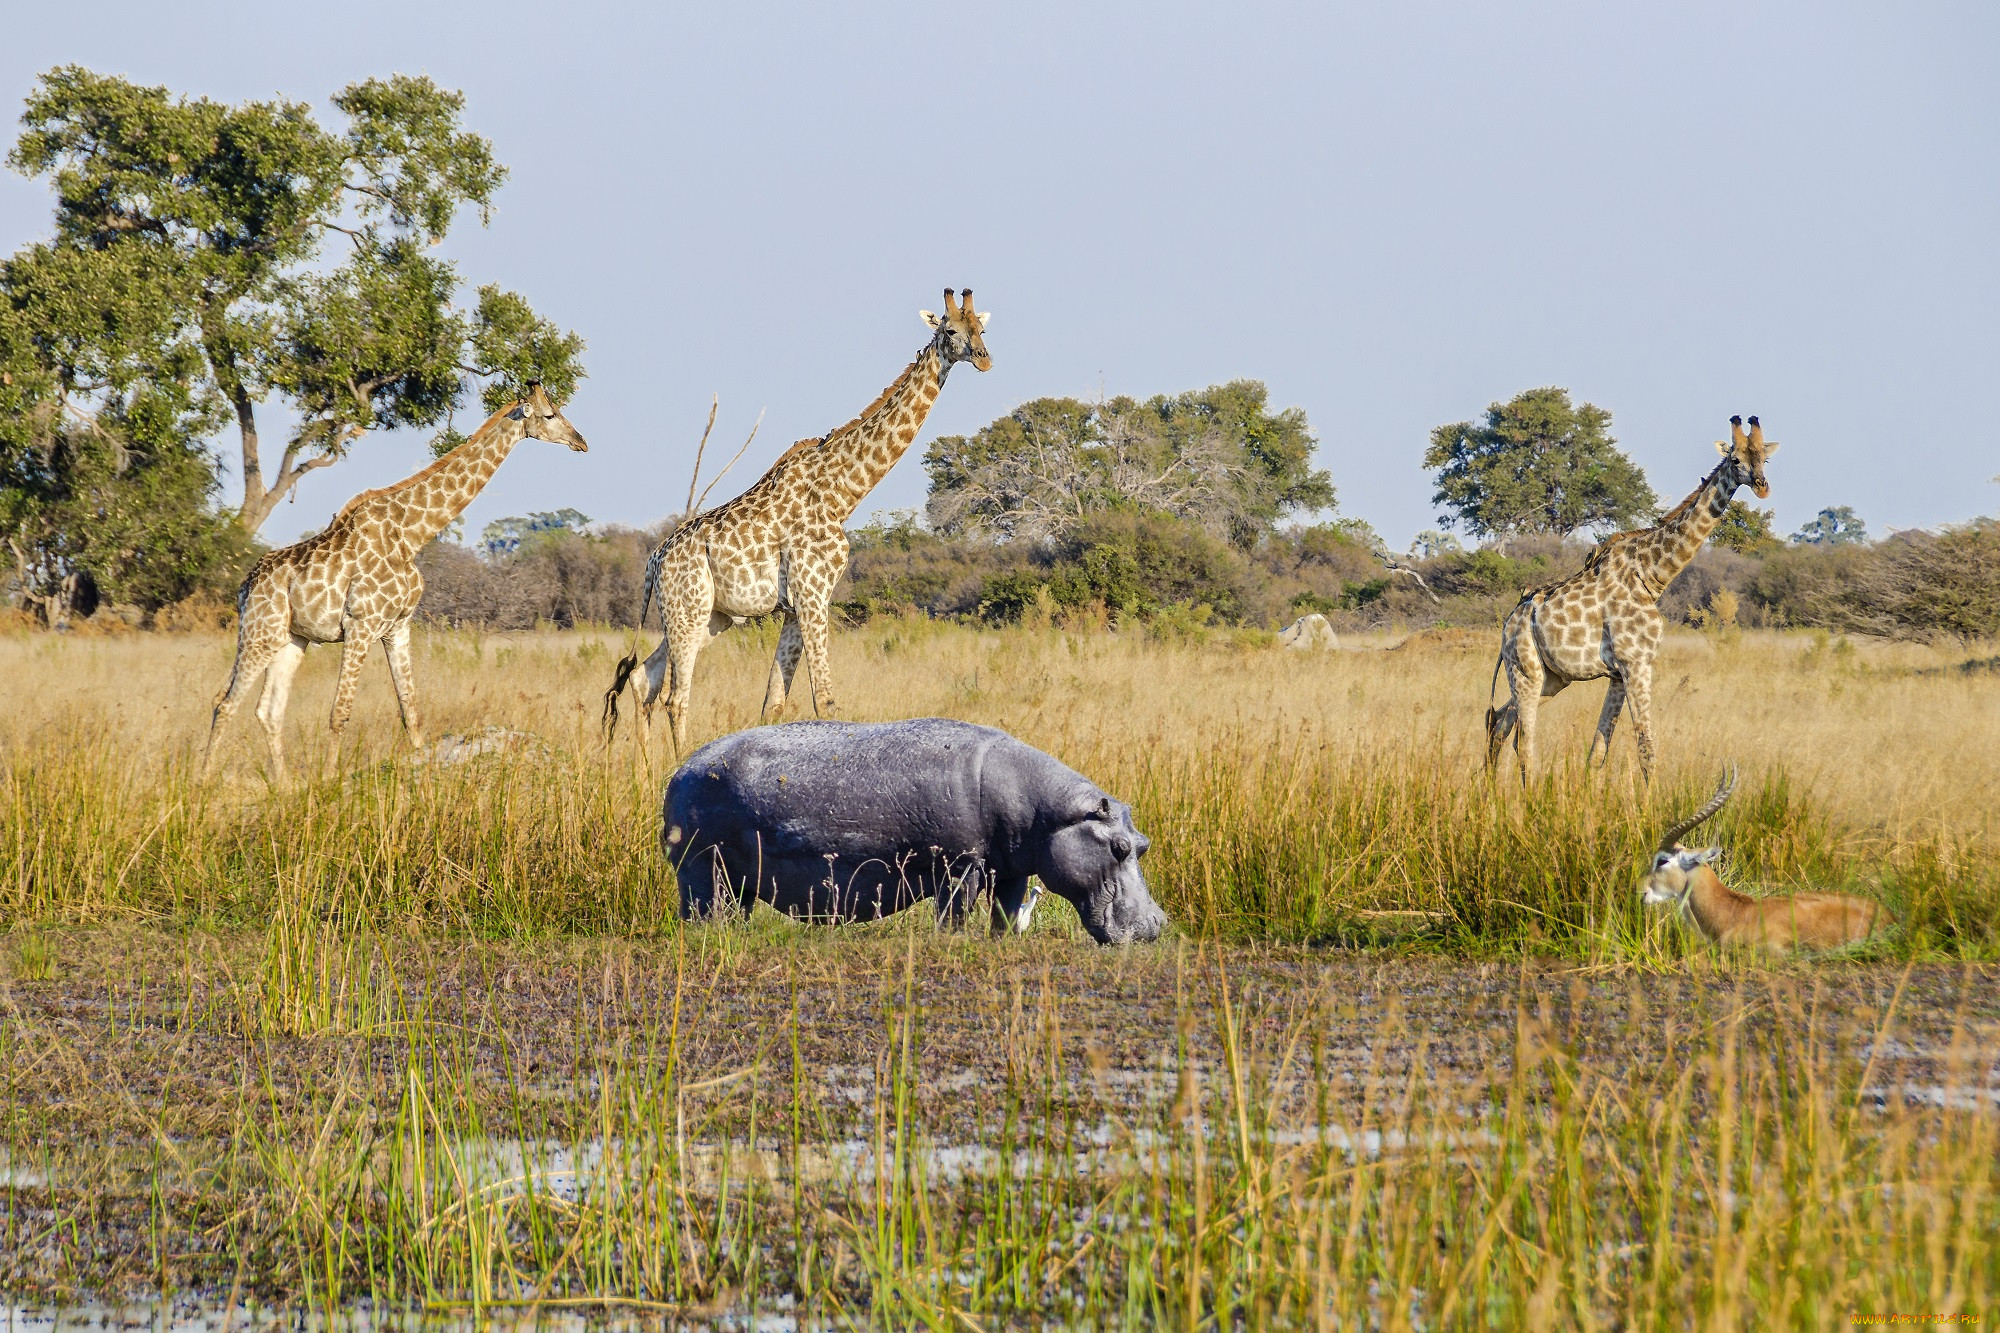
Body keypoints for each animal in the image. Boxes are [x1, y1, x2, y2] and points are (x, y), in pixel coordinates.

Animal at [204, 378, 584, 780]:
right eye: (550, 414)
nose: (581, 441)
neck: (412, 535)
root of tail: (244, 587)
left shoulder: (398, 626)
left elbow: (410, 712)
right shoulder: (361, 624)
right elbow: (340, 713)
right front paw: (328, 782)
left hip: (292, 638)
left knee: (267, 710)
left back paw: (284, 785)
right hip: (260, 633)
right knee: (225, 703)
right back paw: (204, 780)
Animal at [600, 286, 992, 752]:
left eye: (982, 327)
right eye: (950, 330)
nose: (985, 358)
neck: (844, 494)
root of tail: (654, 559)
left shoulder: (794, 605)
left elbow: (773, 703)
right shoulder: (812, 594)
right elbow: (825, 699)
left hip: (708, 616)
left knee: (644, 677)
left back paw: (646, 770)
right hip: (687, 610)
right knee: (675, 699)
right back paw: (678, 764)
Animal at [1488, 416, 1784, 784]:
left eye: (1764, 459)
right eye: (1735, 460)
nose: (1761, 485)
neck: (1651, 575)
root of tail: (1508, 622)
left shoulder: (1617, 673)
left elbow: (1598, 751)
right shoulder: (1636, 664)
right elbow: (1646, 748)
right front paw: (1650, 801)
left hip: (1552, 678)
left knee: (1500, 720)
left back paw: (1489, 789)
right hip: (1524, 671)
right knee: (1524, 743)